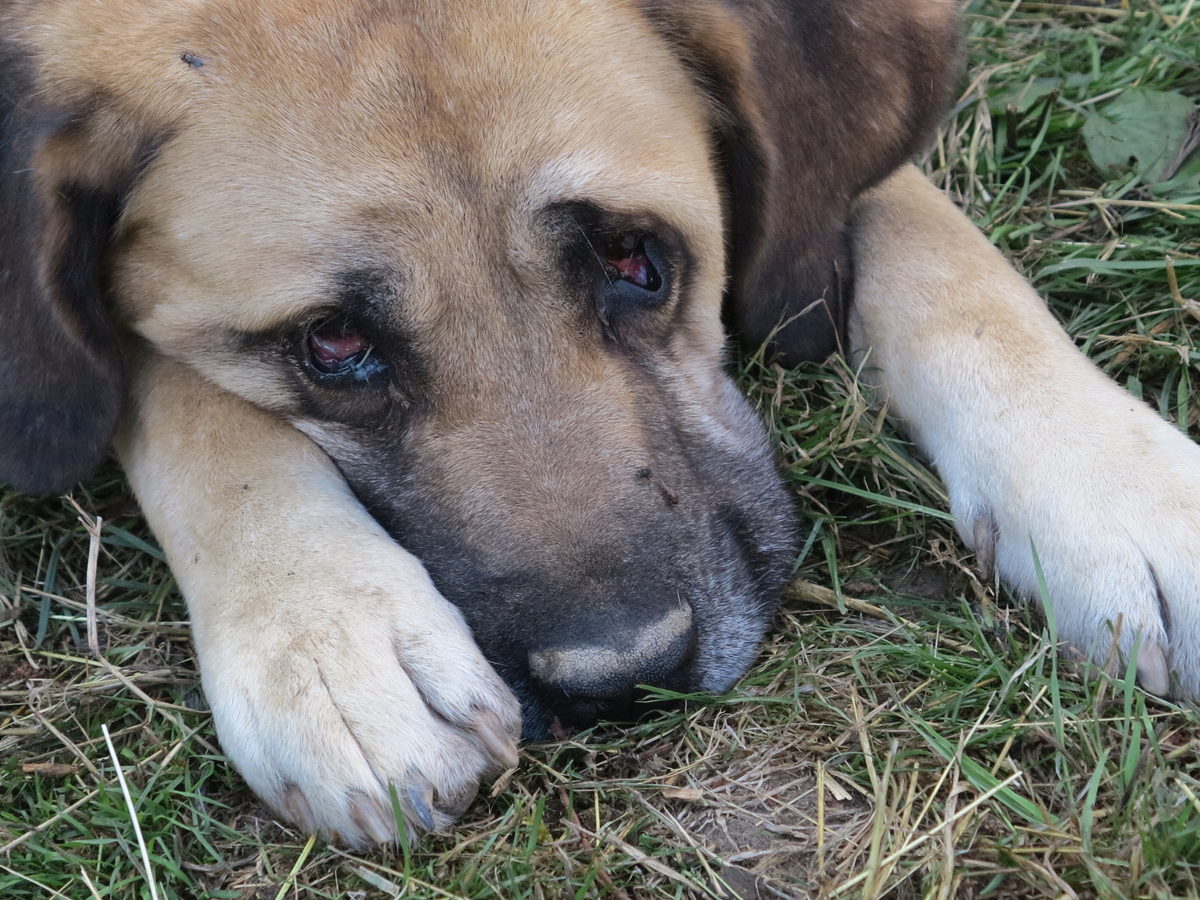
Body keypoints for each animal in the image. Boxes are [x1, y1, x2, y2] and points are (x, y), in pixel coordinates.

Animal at [7, 0, 1200, 849]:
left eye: (637, 258)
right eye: (333, 344)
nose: (621, 675)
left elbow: (934, 244)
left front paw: (1111, 481)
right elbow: (182, 393)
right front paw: (326, 636)